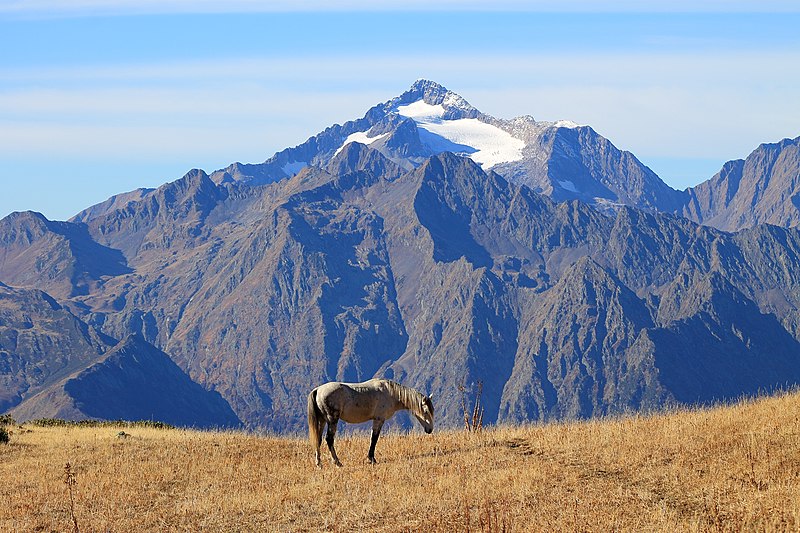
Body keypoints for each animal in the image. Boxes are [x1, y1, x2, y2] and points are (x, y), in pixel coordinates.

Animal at [306, 378, 434, 466]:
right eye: (426, 411)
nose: (430, 429)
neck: (390, 392)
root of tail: (318, 390)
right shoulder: (379, 419)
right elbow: (374, 438)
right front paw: (372, 458)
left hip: (322, 420)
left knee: (318, 439)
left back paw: (319, 463)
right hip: (332, 420)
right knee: (329, 439)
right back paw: (337, 462)